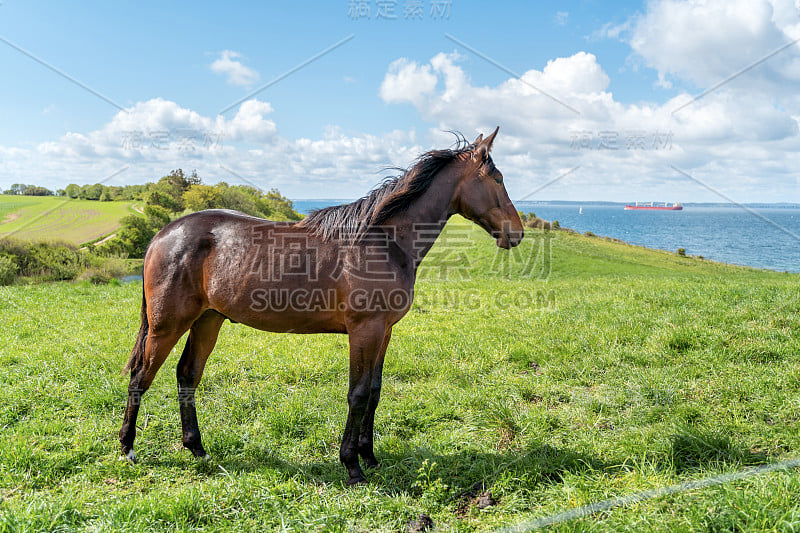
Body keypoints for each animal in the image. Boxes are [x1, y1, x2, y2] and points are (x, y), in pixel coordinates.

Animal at [117, 127, 520, 484]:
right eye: (498, 178)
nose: (516, 232)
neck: (383, 241)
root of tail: (162, 234)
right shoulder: (365, 330)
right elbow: (358, 394)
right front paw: (352, 466)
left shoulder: (384, 331)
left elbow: (375, 391)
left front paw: (370, 456)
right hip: (167, 325)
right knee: (141, 377)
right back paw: (127, 448)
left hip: (208, 320)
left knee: (187, 375)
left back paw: (197, 449)